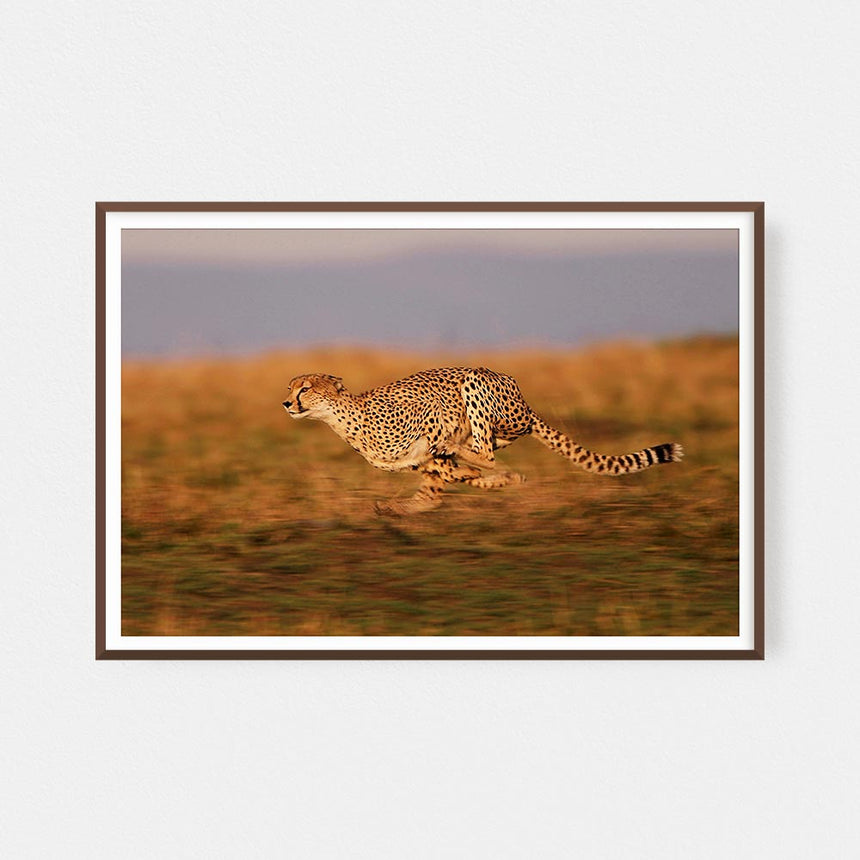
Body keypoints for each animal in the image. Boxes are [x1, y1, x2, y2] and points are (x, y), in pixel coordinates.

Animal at [282, 366, 683, 516]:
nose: (286, 403)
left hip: (476, 382)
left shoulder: (433, 413)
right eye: (290, 387)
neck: (345, 420)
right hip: (500, 427)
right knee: (478, 457)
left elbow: (451, 461)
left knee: (484, 450)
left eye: (306, 388)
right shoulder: (420, 462)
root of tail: (525, 401)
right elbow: (437, 487)